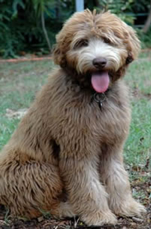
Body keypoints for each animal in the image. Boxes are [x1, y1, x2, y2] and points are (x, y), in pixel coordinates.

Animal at [0, 9, 146, 225]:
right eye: (82, 42)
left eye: (108, 40)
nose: (99, 62)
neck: (96, 96)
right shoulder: (77, 148)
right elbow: (87, 184)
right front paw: (99, 215)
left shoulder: (112, 145)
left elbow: (117, 177)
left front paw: (126, 206)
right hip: (40, 170)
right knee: (33, 208)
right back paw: (67, 209)